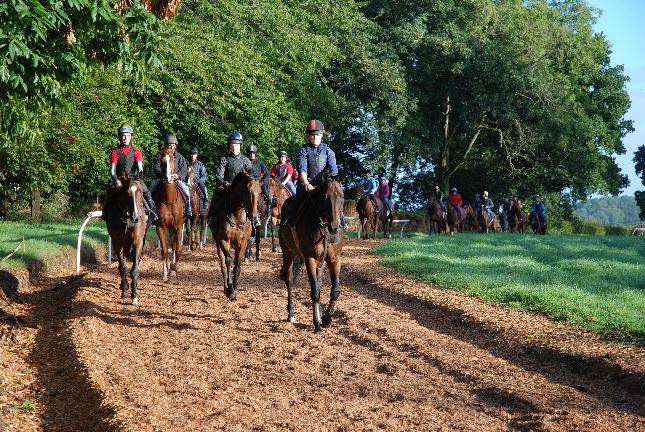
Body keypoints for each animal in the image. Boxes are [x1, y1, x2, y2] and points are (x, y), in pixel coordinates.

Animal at [104, 173, 148, 308]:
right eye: (127, 193)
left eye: (141, 192)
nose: (136, 217)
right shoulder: (117, 242)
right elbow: (122, 267)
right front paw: (124, 292)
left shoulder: (138, 242)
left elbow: (134, 269)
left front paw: (134, 296)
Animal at [205, 171, 258, 300]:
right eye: (248, 191)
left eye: (259, 191)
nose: (253, 216)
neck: (237, 215)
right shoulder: (224, 240)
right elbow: (228, 260)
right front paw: (230, 289)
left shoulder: (243, 243)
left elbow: (237, 263)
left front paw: (235, 290)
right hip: (218, 243)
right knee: (223, 264)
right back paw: (225, 288)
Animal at [280, 171, 344, 334]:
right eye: (325, 197)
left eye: (341, 196)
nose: (334, 227)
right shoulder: (310, 258)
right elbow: (314, 291)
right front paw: (317, 325)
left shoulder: (334, 258)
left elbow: (335, 290)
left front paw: (327, 319)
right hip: (288, 252)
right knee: (289, 278)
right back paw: (291, 313)